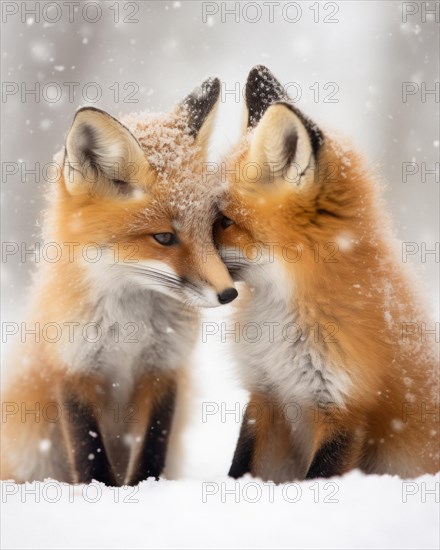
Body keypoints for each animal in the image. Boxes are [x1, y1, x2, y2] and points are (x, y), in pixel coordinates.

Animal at [1, 77, 237, 488]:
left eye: (211, 229)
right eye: (164, 238)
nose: (229, 293)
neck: (130, 330)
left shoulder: (162, 368)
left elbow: (152, 447)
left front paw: (144, 491)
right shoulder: (74, 367)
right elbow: (89, 452)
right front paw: (101, 492)